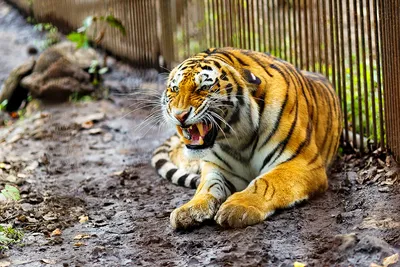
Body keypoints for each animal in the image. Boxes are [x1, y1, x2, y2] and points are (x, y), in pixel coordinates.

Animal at [150, 47, 340, 230]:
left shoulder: (303, 162)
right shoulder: (219, 167)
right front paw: (188, 209)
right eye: (175, 89)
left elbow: (265, 183)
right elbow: (207, 186)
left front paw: (237, 207)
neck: (238, 139)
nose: (179, 115)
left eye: (203, 87)